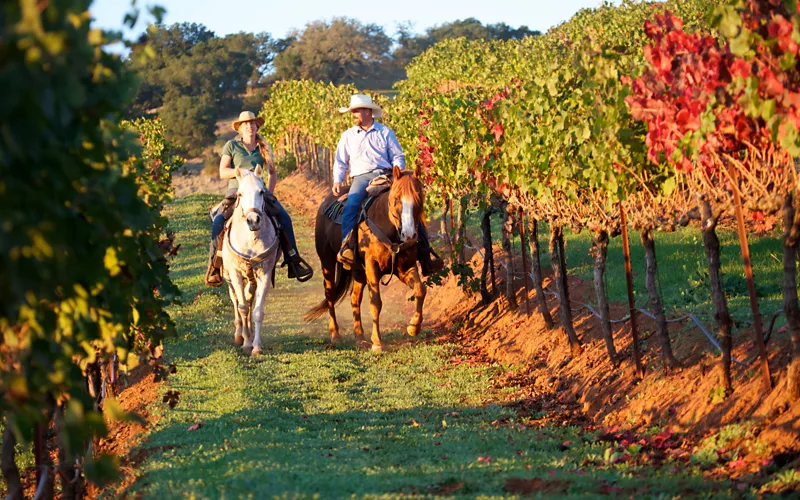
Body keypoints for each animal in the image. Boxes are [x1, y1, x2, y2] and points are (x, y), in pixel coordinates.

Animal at [220, 168, 280, 356]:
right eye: (240, 194)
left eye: (261, 192)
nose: (253, 220)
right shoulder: (235, 274)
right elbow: (242, 307)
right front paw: (246, 343)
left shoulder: (264, 273)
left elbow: (257, 311)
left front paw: (256, 346)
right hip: (229, 278)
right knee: (236, 300)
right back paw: (239, 335)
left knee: (249, 297)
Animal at [304, 166, 424, 350]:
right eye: (396, 199)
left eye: (419, 197)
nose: (409, 235)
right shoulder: (371, 265)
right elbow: (375, 302)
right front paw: (377, 343)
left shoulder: (405, 267)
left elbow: (420, 289)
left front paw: (413, 327)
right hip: (327, 261)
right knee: (330, 294)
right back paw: (335, 335)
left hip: (358, 271)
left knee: (355, 298)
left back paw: (360, 337)